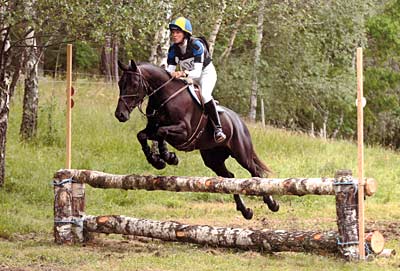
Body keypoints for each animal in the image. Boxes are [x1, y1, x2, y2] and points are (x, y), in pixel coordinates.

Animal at [114, 60, 280, 220]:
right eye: (120, 84)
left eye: (134, 84)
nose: (120, 115)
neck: (165, 97)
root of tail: (239, 120)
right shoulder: (152, 129)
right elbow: (142, 135)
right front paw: (158, 161)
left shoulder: (183, 131)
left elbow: (162, 132)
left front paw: (168, 157)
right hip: (213, 159)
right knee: (229, 178)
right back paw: (245, 211)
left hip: (241, 154)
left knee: (256, 173)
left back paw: (272, 204)